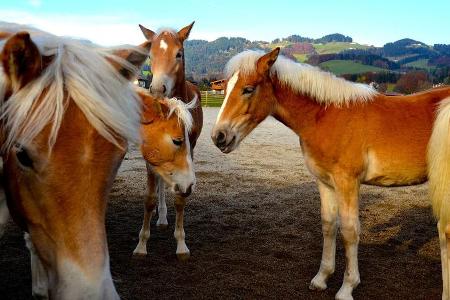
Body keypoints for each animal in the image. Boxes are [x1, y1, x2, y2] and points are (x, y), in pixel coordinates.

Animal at [210, 48, 450, 298]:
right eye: (225, 89)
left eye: (248, 89)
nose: (219, 136)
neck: (326, 116)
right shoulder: (325, 182)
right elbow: (328, 225)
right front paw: (322, 278)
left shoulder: (348, 182)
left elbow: (350, 231)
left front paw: (347, 287)